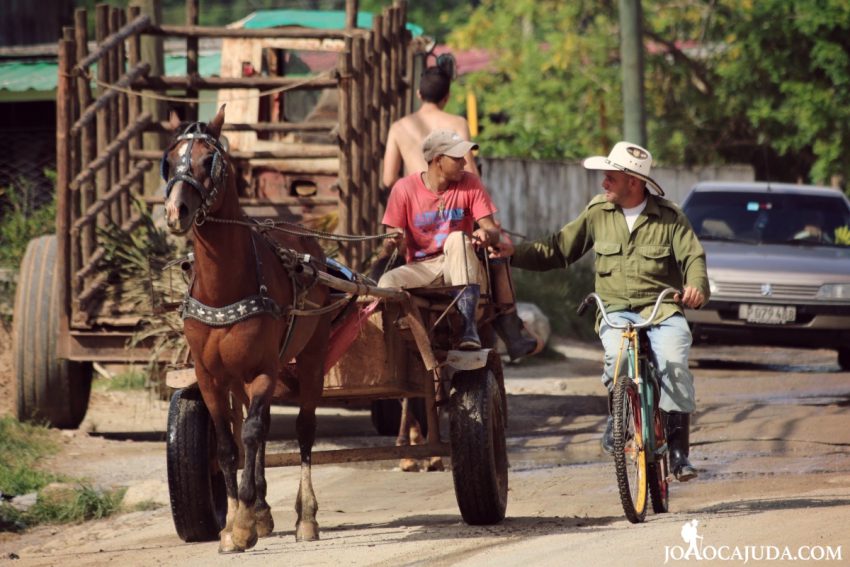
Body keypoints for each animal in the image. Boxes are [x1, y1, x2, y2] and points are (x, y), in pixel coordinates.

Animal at [161, 104, 332, 552]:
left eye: (209, 159)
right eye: (169, 159)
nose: (176, 212)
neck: (224, 288)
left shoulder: (263, 371)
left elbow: (254, 434)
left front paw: (243, 521)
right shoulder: (209, 376)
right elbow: (227, 445)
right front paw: (235, 522)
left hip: (311, 358)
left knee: (302, 430)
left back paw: (305, 517)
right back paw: (262, 511)